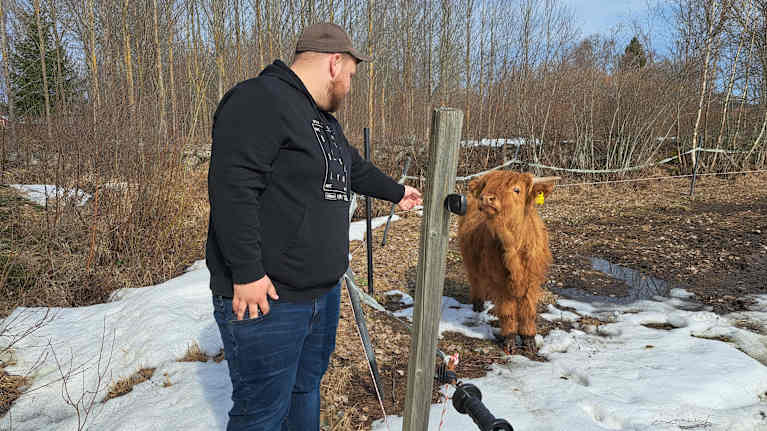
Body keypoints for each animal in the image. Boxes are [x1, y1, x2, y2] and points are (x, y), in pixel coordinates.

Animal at [457, 170, 558, 353]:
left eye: (516, 189)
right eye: (486, 184)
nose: (486, 198)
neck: (513, 246)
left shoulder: (532, 281)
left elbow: (528, 311)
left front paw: (529, 340)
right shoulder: (500, 282)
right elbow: (507, 311)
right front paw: (509, 341)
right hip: (471, 263)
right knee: (476, 281)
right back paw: (478, 306)